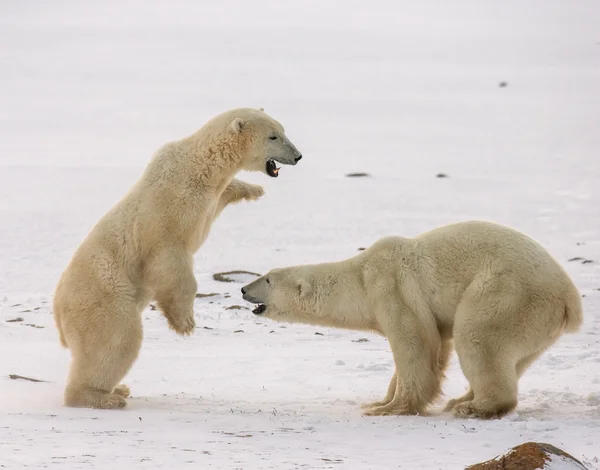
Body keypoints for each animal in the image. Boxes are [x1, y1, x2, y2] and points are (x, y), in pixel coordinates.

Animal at [54, 106, 302, 408]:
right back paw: (103, 397)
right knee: (116, 340)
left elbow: (224, 194)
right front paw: (184, 323)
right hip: (104, 297)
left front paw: (253, 190)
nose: (298, 156)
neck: (200, 165)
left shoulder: (209, 197)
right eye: (273, 136)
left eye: (283, 130)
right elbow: (169, 259)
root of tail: (58, 311)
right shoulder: (169, 211)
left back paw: (118, 390)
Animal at [241, 220, 584, 418]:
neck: (360, 277)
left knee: (477, 336)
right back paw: (462, 398)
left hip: (508, 294)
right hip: (534, 322)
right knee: (514, 358)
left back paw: (472, 407)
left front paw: (389, 408)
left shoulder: (391, 287)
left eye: (267, 278)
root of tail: (570, 298)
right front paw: (380, 401)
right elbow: (435, 345)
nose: (243, 289)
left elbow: (414, 343)